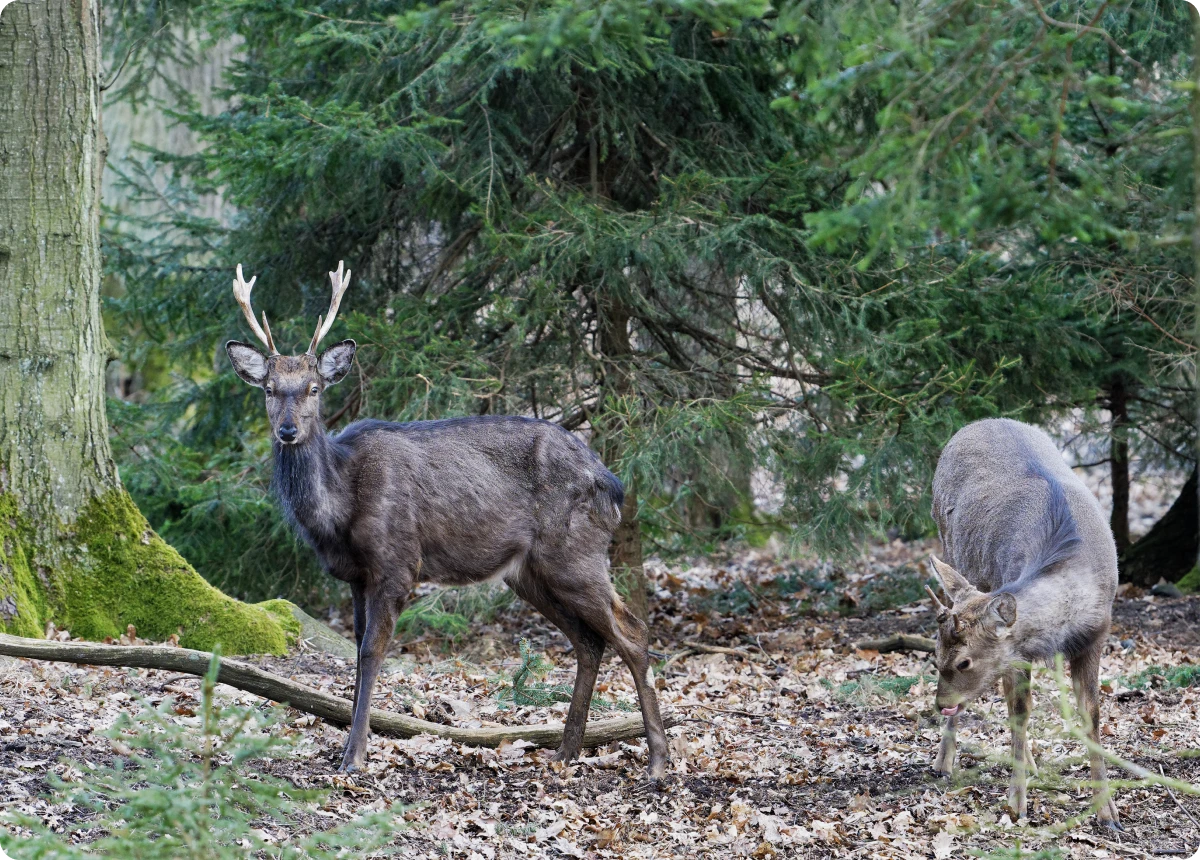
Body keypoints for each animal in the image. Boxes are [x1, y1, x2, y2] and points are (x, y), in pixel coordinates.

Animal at [224, 262, 669, 779]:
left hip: (575, 552)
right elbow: (355, 651)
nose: (288, 430)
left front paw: (355, 756)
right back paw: (565, 751)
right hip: (529, 571)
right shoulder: (355, 576)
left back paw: (659, 760)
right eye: (269, 389)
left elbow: (372, 652)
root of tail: (612, 482)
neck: (339, 507)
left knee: (631, 632)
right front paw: (348, 745)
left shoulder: (397, 562)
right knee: (589, 642)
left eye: (314, 389)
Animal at [926, 418, 1121, 829]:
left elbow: (1092, 715)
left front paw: (1107, 811)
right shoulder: (1016, 649)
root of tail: (976, 423)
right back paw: (944, 762)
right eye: (934, 655)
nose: (940, 703)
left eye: (964, 661)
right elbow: (1020, 710)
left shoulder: (1097, 636)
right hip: (951, 545)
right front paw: (1016, 804)